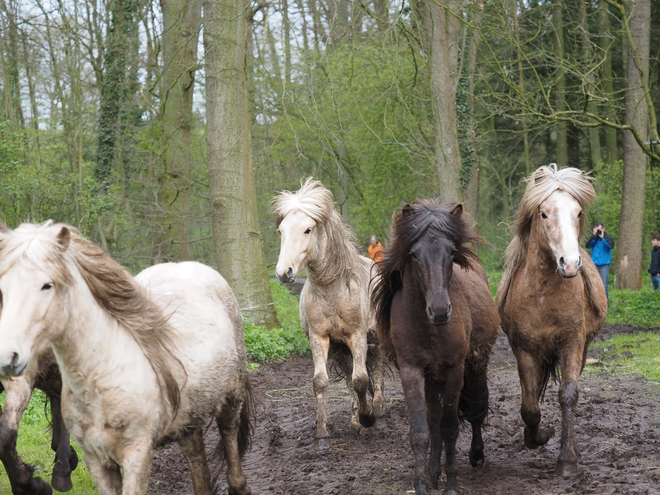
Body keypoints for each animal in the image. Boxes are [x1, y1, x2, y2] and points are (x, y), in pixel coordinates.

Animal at [272, 180, 386, 452]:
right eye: (281, 230)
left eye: (307, 229)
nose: (283, 272)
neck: (332, 290)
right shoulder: (320, 339)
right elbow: (321, 382)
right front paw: (322, 433)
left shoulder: (358, 337)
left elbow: (361, 380)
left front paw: (368, 417)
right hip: (343, 349)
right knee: (351, 379)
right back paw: (355, 422)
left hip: (375, 340)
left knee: (375, 370)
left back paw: (377, 409)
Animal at [374, 199, 498, 495]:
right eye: (414, 254)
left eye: (452, 252)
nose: (440, 311)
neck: (430, 328)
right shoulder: (412, 369)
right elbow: (422, 429)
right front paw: (422, 483)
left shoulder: (455, 369)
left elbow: (451, 426)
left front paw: (451, 484)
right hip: (432, 378)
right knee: (434, 419)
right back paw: (432, 472)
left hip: (475, 368)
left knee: (476, 409)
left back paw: (476, 455)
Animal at [496, 165, 608, 478]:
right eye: (544, 214)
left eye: (578, 213)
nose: (569, 264)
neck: (544, 295)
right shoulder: (524, 350)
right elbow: (529, 405)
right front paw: (537, 436)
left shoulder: (572, 344)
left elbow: (568, 394)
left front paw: (567, 458)